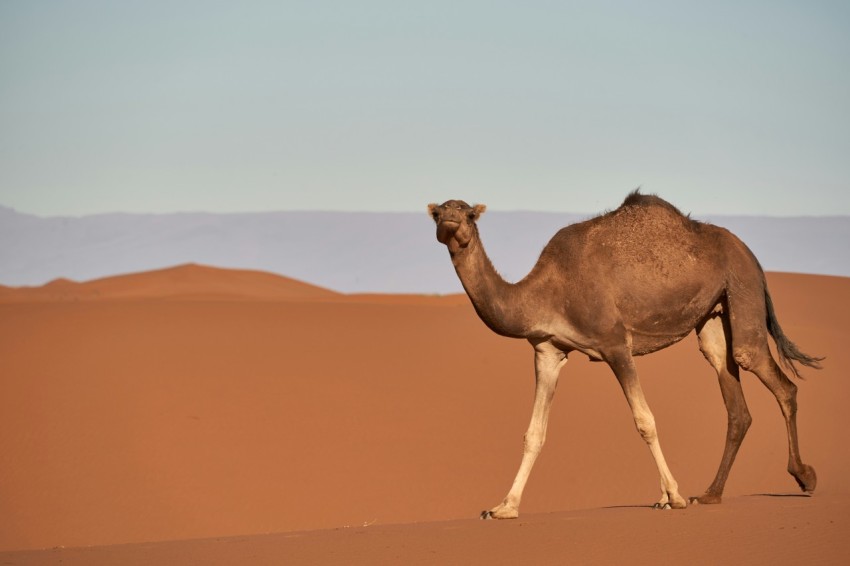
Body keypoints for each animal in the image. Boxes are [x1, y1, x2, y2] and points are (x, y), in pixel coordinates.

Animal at [428, 190, 822, 518]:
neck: (546, 290)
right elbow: (534, 433)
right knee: (732, 391)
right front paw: (503, 507)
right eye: (438, 212)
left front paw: (672, 496)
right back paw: (711, 494)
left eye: (468, 213)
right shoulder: (548, 350)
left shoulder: (615, 343)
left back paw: (804, 476)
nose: (449, 219)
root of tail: (748, 252)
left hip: (742, 284)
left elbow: (644, 421)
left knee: (763, 368)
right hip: (713, 314)